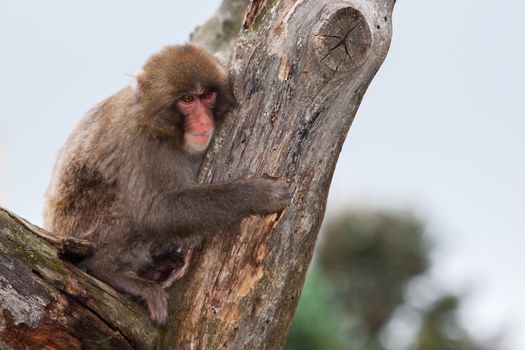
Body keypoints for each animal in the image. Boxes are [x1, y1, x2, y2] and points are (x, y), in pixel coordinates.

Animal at [44, 44, 290, 326]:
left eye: (207, 95)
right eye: (187, 100)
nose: (203, 121)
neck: (160, 126)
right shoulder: (142, 144)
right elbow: (157, 212)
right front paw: (259, 193)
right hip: (85, 229)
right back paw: (108, 271)